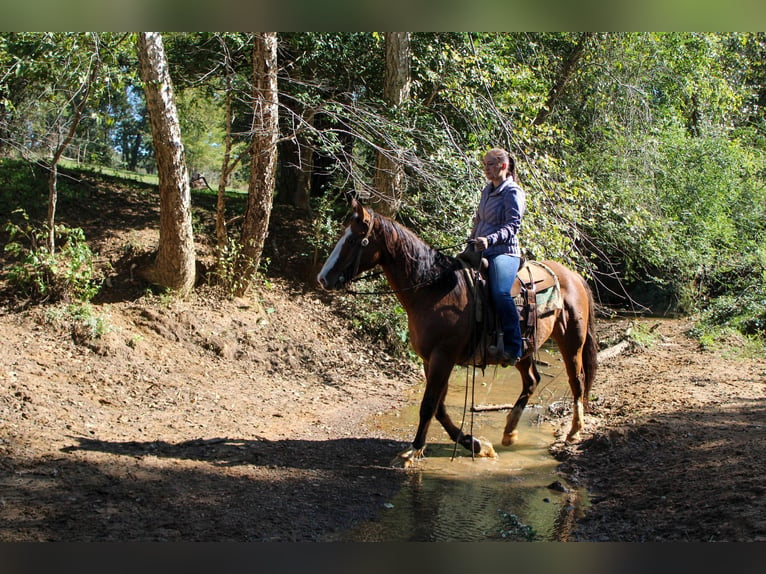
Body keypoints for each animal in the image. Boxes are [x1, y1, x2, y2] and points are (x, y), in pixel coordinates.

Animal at [318, 199, 600, 468]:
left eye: (353, 240)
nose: (322, 279)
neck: (434, 288)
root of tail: (573, 276)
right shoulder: (430, 359)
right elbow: (439, 407)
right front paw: (475, 444)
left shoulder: (444, 356)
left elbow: (428, 405)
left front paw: (412, 450)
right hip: (524, 348)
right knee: (532, 380)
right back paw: (509, 432)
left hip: (571, 341)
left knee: (577, 380)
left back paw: (574, 431)